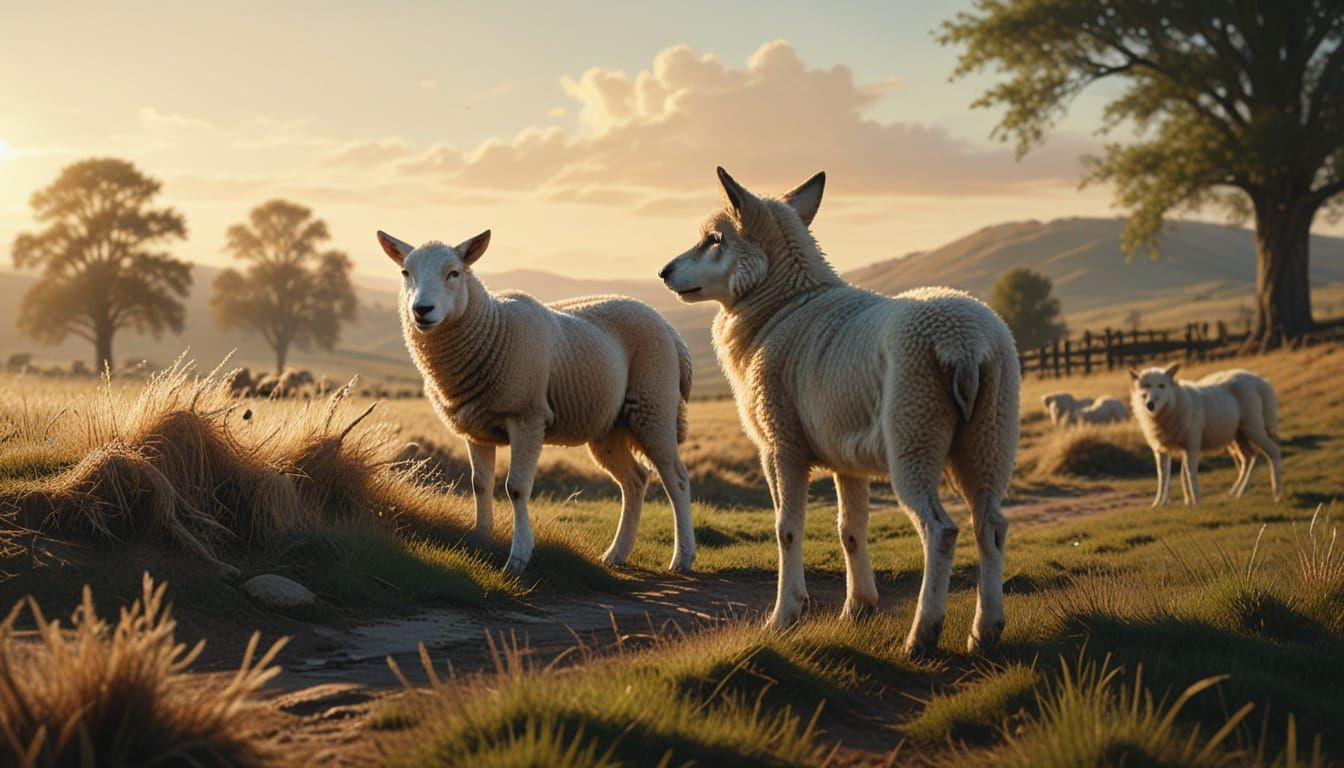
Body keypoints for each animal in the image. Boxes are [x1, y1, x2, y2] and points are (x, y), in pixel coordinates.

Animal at [377, 228, 696, 574]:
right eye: (405, 272)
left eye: (454, 273)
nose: (422, 309)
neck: (493, 328)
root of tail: (668, 327)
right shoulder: (476, 430)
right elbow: (480, 485)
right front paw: (480, 541)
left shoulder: (527, 417)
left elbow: (516, 489)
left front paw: (518, 557)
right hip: (610, 425)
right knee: (635, 481)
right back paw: (616, 553)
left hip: (654, 406)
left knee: (677, 479)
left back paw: (682, 557)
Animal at [658, 168, 1020, 654]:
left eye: (714, 239)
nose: (664, 272)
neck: (781, 308)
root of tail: (964, 342)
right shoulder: (846, 456)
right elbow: (850, 529)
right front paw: (858, 607)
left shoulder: (781, 446)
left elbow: (787, 528)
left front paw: (785, 615)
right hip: (989, 437)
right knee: (991, 525)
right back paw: (985, 631)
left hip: (914, 433)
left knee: (940, 531)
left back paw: (922, 634)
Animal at [1130, 363, 1282, 506]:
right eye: (1145, 386)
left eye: (1162, 385)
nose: (1150, 404)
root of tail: (1260, 381)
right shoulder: (1162, 449)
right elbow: (1164, 477)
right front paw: (1160, 503)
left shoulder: (1192, 443)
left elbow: (1190, 473)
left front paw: (1196, 500)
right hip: (1238, 434)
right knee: (1249, 458)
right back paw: (1236, 493)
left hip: (1253, 427)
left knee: (1273, 452)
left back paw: (1277, 493)